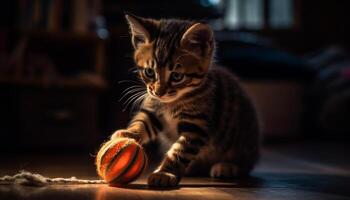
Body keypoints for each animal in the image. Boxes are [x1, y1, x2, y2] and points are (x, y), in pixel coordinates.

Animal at [110, 14, 262, 188]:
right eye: (149, 72)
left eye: (177, 76)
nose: (159, 92)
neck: (171, 103)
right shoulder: (153, 109)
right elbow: (142, 121)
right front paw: (129, 133)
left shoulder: (197, 125)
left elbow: (179, 151)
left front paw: (164, 173)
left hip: (242, 137)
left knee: (246, 163)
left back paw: (227, 166)